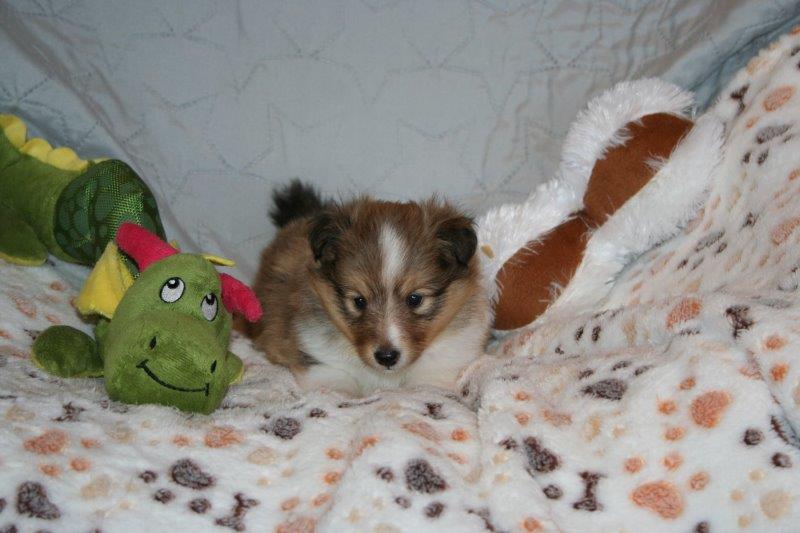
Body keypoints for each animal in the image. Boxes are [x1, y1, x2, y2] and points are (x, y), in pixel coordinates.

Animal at [251, 180, 490, 396]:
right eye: (359, 301)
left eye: (415, 299)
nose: (386, 357)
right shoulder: (320, 364)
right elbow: (338, 386)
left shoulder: (441, 368)